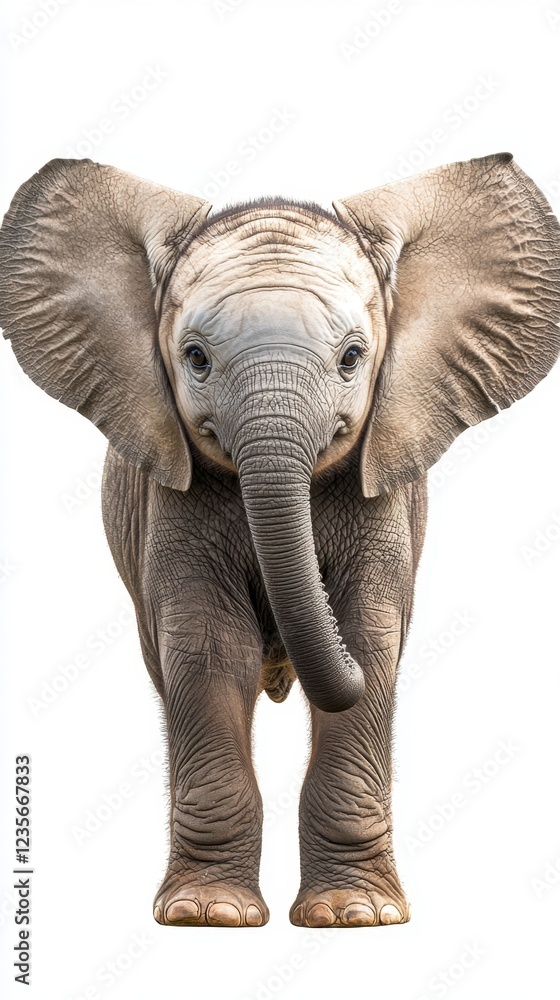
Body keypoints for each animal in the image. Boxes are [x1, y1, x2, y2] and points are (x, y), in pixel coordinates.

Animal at [1, 152, 559, 929]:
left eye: (354, 358)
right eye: (195, 358)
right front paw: (206, 915)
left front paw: (355, 916)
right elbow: (207, 647)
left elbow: (372, 634)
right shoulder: (174, 495)